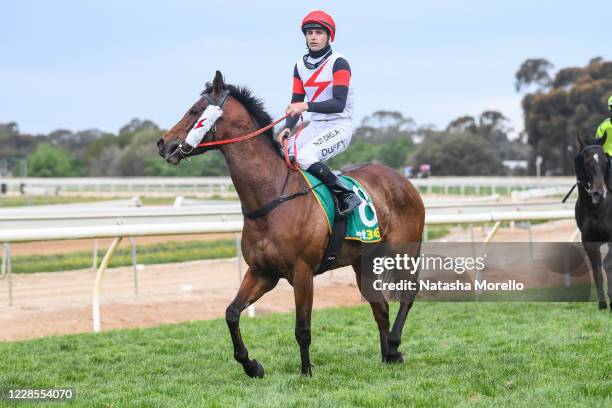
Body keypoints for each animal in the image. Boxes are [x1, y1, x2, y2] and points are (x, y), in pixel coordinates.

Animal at [158, 70, 426, 376]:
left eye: (195, 110)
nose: (162, 143)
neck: (271, 196)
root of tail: (404, 180)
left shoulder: (302, 272)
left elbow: (302, 329)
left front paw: (306, 372)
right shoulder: (262, 272)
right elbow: (231, 313)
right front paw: (251, 365)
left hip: (401, 252)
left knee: (407, 293)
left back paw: (393, 345)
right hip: (362, 261)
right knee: (379, 307)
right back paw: (387, 355)